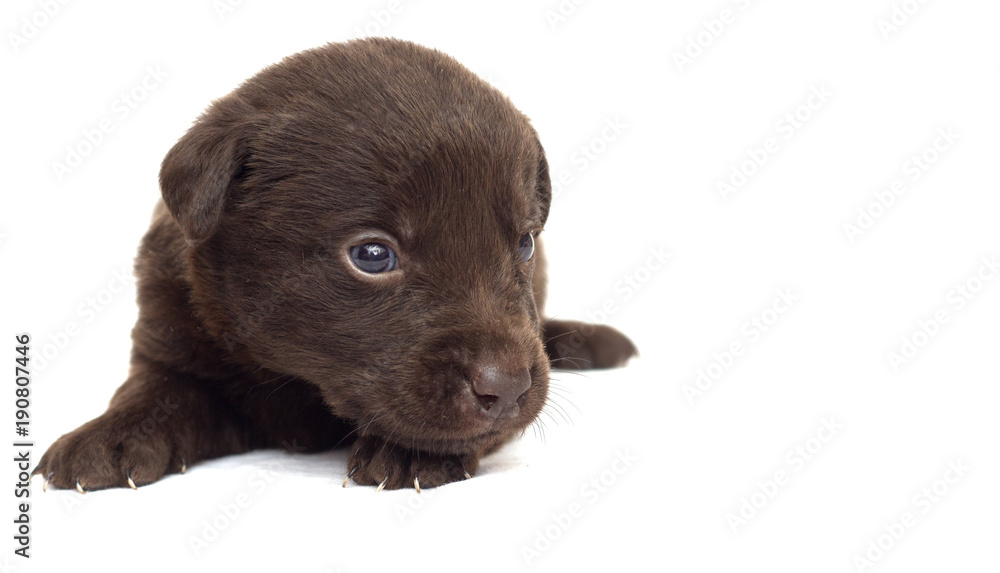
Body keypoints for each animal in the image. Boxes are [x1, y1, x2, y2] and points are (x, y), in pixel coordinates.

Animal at [37, 38, 640, 490]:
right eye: (372, 255)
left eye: (524, 243)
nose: (509, 388)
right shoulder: (170, 339)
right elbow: (153, 392)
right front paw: (109, 436)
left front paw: (415, 452)